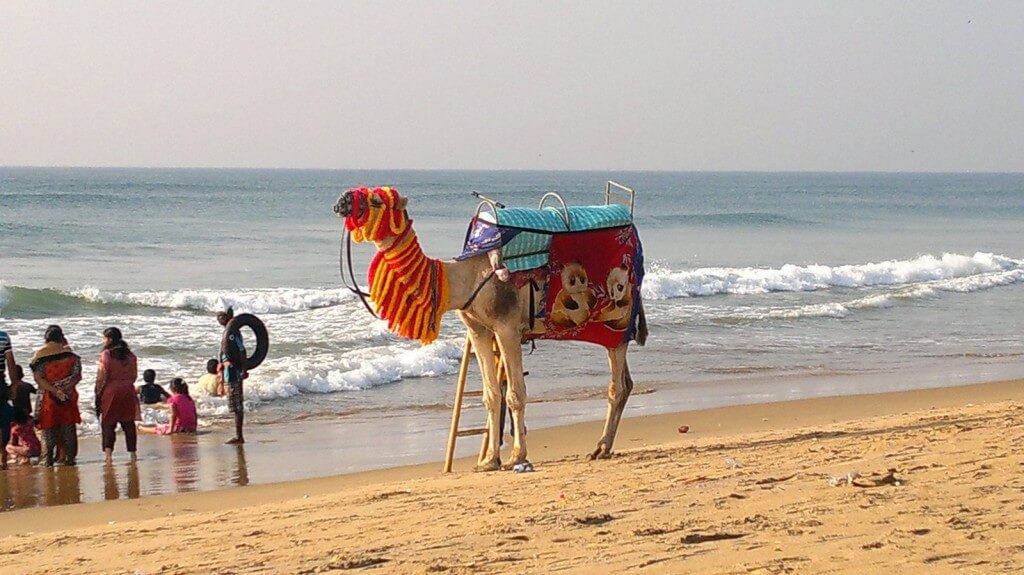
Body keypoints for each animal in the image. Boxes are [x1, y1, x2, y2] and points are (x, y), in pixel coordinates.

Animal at [331, 186, 643, 468]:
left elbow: (515, 394)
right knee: (626, 382)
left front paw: (517, 457)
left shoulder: (507, 328)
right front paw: (489, 460)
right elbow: (491, 395)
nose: (341, 201)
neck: (465, 278)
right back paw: (605, 447)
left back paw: (600, 447)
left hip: (617, 322)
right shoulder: (478, 330)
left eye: (375, 199)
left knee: (616, 384)